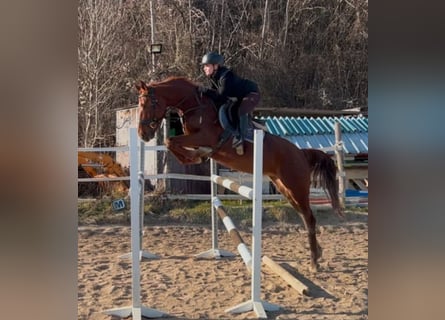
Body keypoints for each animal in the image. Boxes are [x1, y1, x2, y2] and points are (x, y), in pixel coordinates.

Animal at [137, 76, 342, 272]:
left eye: (148, 104)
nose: (142, 134)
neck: (195, 106)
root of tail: (301, 153)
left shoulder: (205, 137)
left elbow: (170, 140)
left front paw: (197, 156)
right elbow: (172, 142)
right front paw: (197, 156)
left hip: (296, 187)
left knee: (310, 218)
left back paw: (314, 262)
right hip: (285, 188)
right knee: (304, 217)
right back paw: (318, 253)